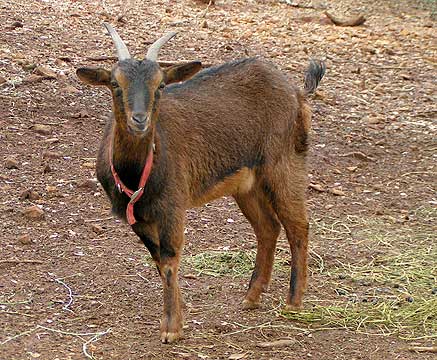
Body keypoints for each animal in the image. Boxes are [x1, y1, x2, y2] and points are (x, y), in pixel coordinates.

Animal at [76, 23, 326, 344]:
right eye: (114, 84)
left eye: (160, 85)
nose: (140, 120)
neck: (137, 171)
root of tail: (297, 91)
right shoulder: (137, 217)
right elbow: (158, 261)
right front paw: (178, 316)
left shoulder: (172, 205)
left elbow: (170, 259)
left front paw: (171, 329)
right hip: (247, 184)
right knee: (268, 227)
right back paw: (251, 296)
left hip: (284, 163)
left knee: (298, 226)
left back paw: (293, 302)